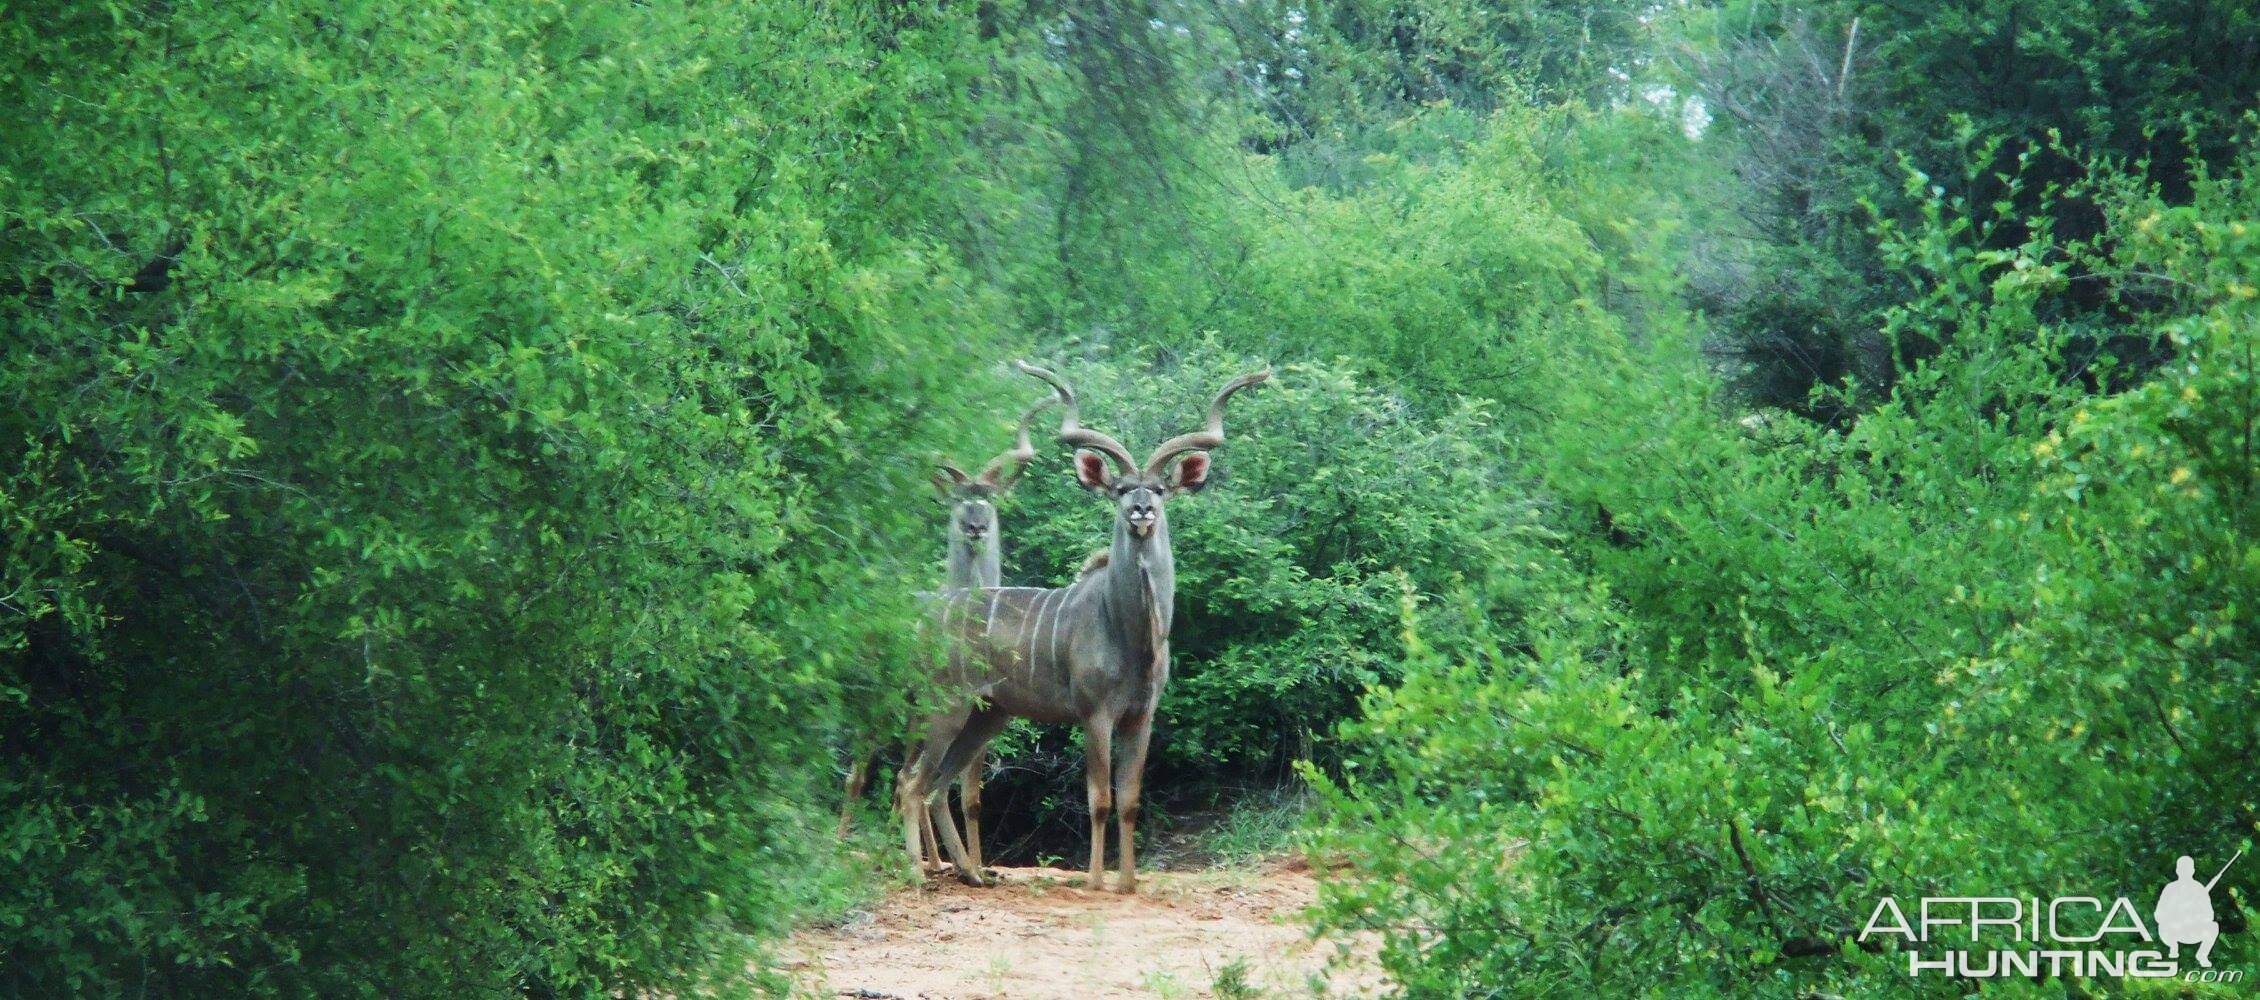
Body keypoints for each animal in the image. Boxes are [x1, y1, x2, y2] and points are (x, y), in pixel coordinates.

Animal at [845, 398, 1053, 873]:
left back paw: (929, 859)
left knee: (904, 777)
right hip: (881, 710)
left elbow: (971, 795)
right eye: (959, 500)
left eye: (989, 497)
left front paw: (971, 864)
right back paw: (848, 843)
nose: (975, 526)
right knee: (861, 774)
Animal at [904, 364, 1274, 895]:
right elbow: (1100, 798)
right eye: (1120, 490)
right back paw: (917, 872)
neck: (1131, 636)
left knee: (936, 786)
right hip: (946, 707)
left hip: (985, 717)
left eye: (1159, 489)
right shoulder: (1095, 714)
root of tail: (926, 621)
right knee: (913, 783)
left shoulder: (1141, 718)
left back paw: (972, 873)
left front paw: (1129, 883)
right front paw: (1098, 881)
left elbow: (1130, 800)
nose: (1141, 511)